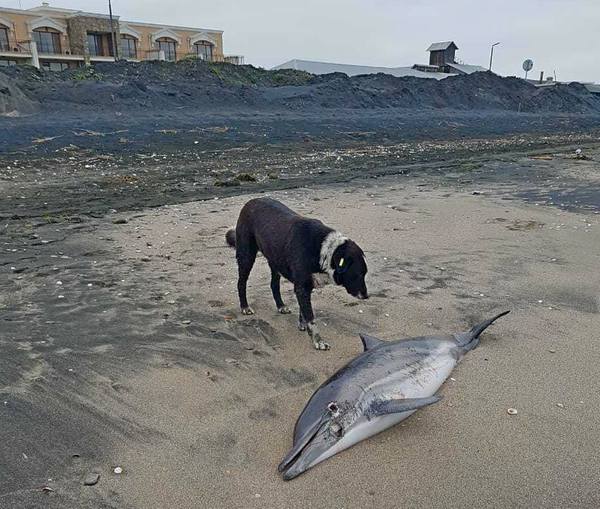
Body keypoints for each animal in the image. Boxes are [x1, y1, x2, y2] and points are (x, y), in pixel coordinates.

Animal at [225, 197, 366, 350]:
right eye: (358, 275)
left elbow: (303, 310)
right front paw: (318, 340)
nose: (366, 296)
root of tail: (251, 201)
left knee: (274, 284)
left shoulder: (304, 287)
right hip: (247, 256)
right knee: (241, 283)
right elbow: (311, 318)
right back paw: (244, 307)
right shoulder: (302, 287)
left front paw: (303, 325)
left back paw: (281, 305)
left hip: (275, 260)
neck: (323, 250)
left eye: (364, 274)